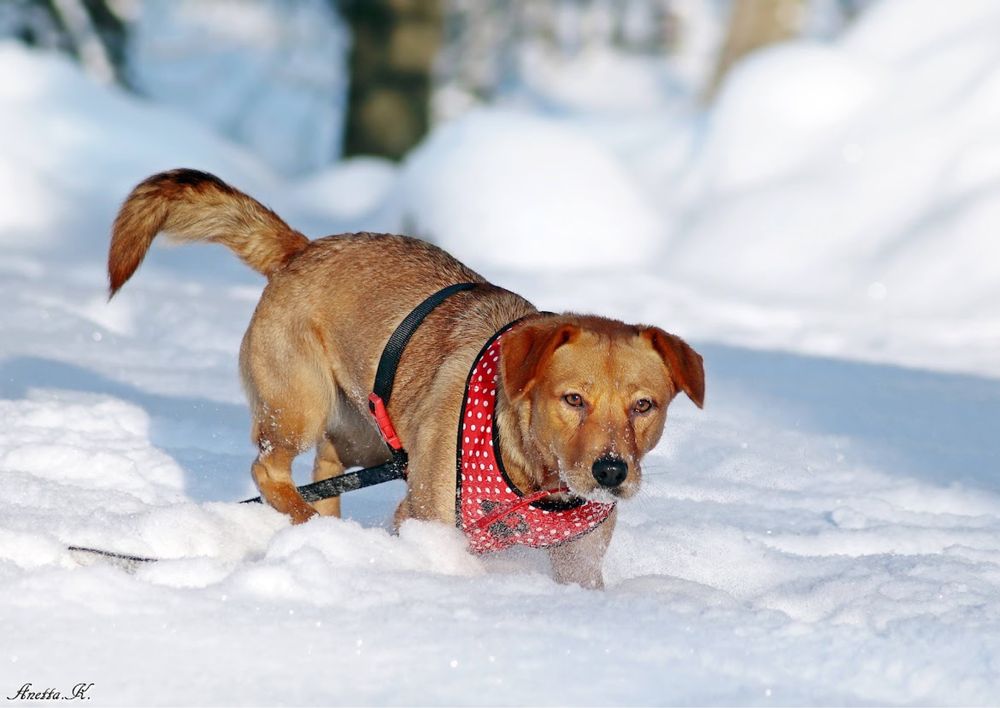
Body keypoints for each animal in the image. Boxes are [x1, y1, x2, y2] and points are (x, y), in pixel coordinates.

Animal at [109, 169, 704, 588]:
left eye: (644, 406)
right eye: (574, 399)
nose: (611, 471)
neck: (534, 481)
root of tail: (303, 248)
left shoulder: (578, 560)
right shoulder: (424, 520)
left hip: (366, 435)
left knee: (326, 467)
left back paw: (336, 535)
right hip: (300, 405)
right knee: (269, 472)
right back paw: (310, 524)